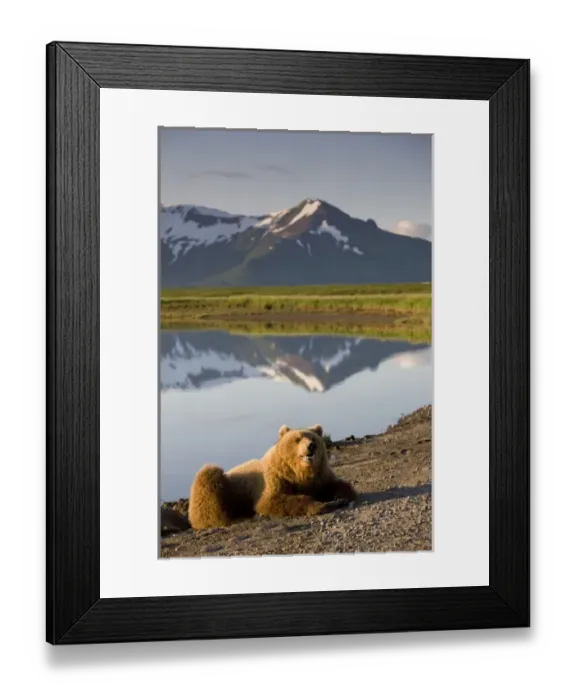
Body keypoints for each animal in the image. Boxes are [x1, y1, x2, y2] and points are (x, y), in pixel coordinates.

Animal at [188, 423, 357, 530]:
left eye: (313, 438)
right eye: (297, 439)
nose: (311, 446)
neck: (300, 472)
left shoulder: (320, 476)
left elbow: (338, 484)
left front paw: (341, 497)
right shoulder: (275, 478)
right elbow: (272, 500)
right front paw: (321, 505)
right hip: (219, 485)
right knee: (209, 481)